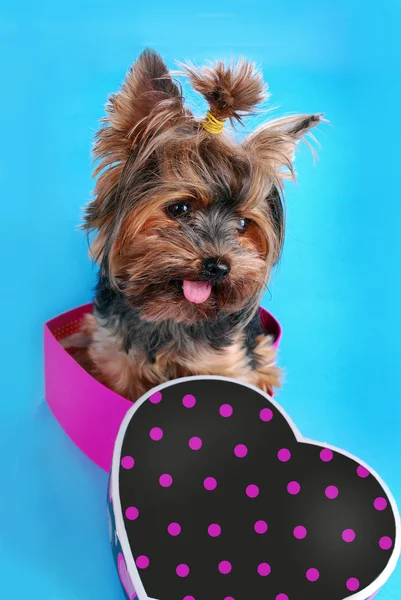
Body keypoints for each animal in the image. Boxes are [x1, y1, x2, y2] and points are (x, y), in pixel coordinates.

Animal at [65, 48, 322, 404]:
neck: (171, 316)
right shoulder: (115, 362)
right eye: (179, 208)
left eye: (243, 223)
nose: (219, 266)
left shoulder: (227, 363)